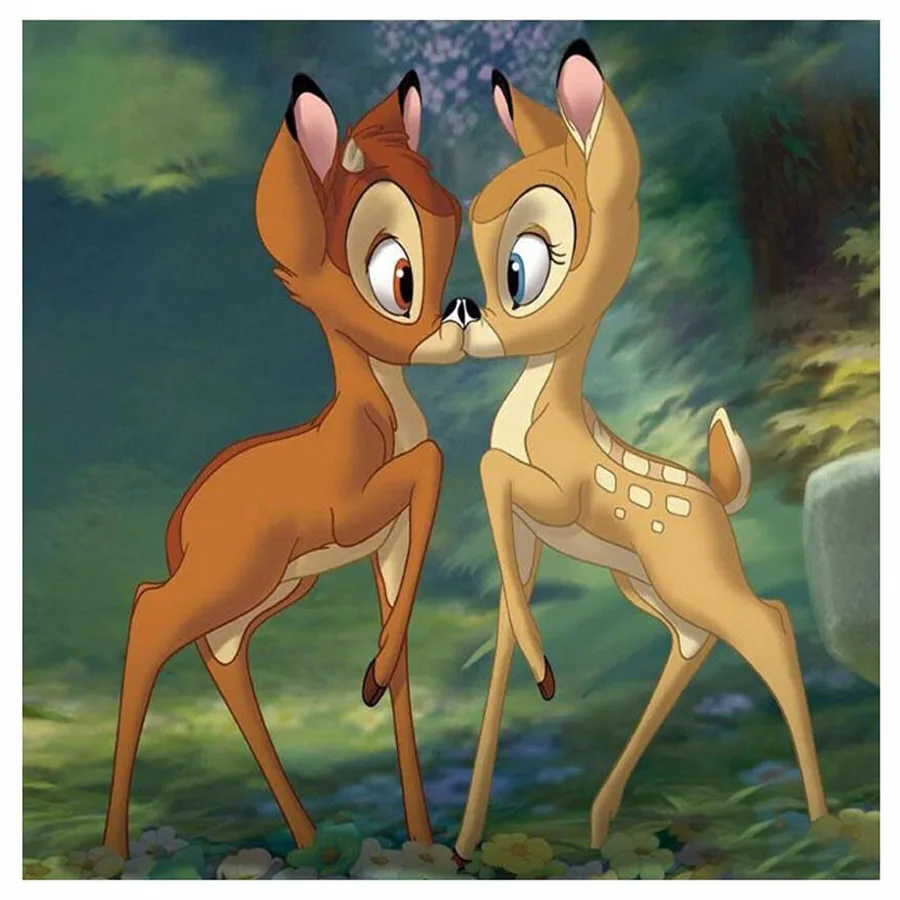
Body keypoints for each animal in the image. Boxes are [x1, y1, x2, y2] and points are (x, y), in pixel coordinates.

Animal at [102, 68, 478, 860]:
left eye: (454, 217)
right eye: (397, 274)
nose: (461, 313)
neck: (378, 421)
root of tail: (181, 520)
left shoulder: (386, 545)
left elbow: (403, 657)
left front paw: (424, 841)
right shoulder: (354, 512)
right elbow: (431, 459)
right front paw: (371, 676)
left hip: (274, 588)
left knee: (220, 653)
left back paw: (308, 839)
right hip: (240, 573)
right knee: (151, 611)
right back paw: (114, 848)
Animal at [451, 39, 828, 864]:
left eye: (522, 269)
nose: (462, 311)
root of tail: (723, 498)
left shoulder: (554, 497)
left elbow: (492, 469)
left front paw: (545, 671)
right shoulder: (529, 537)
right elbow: (501, 638)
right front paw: (462, 844)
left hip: (687, 573)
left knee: (770, 620)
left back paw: (823, 825)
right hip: (644, 583)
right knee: (695, 640)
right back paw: (599, 825)